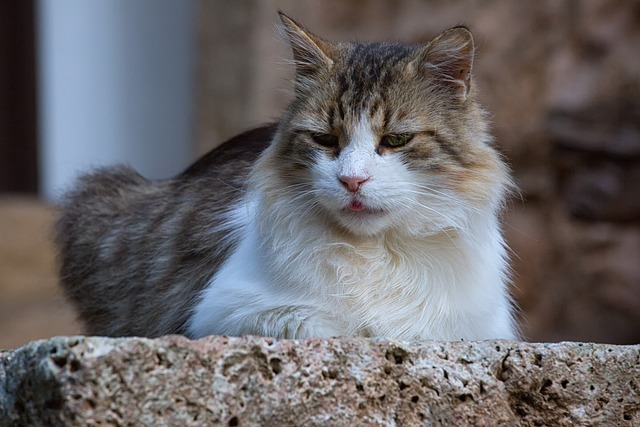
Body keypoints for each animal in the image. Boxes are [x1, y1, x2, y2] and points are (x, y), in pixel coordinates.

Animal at [56, 12, 520, 342]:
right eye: (325, 139)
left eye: (396, 140)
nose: (352, 181)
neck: (376, 252)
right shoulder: (222, 312)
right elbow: (325, 324)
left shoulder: (479, 329)